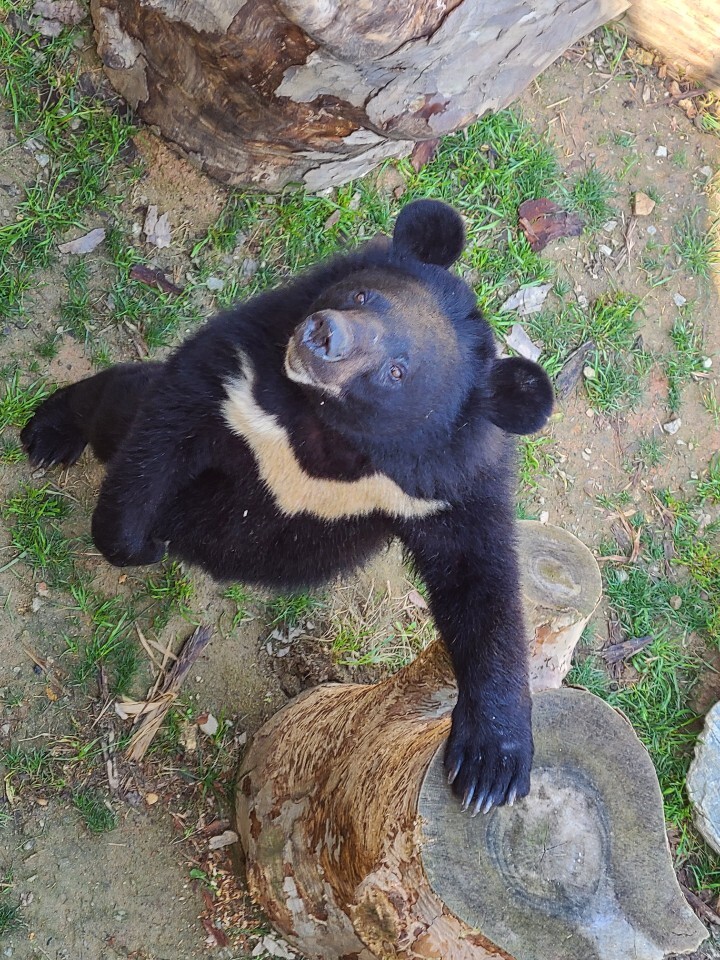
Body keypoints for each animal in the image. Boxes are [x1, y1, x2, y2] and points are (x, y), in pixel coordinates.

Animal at [21, 199, 552, 812]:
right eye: (363, 296)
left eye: (397, 371)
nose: (324, 334)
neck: (328, 431)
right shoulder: (237, 366)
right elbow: (164, 432)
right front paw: (138, 542)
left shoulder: (446, 488)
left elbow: (479, 578)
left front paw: (491, 772)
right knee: (122, 402)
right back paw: (49, 432)